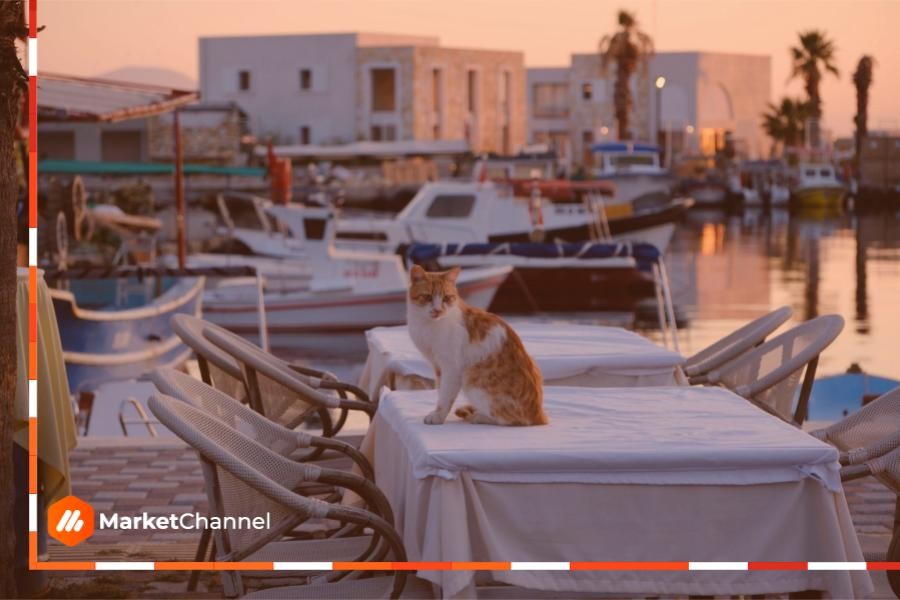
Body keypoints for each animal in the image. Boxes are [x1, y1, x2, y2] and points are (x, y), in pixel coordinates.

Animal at [408, 264, 548, 426]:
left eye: (446, 298)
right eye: (428, 297)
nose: (438, 310)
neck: (428, 325)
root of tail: (539, 415)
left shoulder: (451, 368)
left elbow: (445, 397)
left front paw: (438, 416)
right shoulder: (437, 366)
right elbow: (441, 391)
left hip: (471, 376)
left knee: (508, 419)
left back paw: (478, 416)